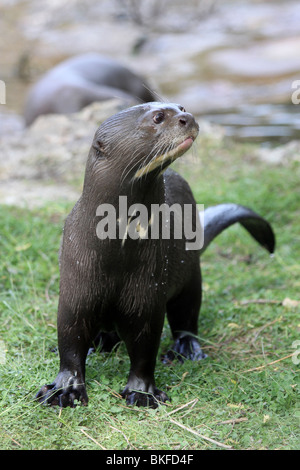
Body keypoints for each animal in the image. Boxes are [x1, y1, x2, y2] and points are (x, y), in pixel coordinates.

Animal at [35, 102, 274, 408]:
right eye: (158, 117)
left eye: (181, 107)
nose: (188, 117)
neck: (115, 252)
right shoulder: (75, 291)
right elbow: (69, 344)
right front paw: (63, 390)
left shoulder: (147, 295)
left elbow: (144, 348)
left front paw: (142, 392)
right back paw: (98, 343)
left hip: (190, 274)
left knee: (187, 314)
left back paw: (185, 349)